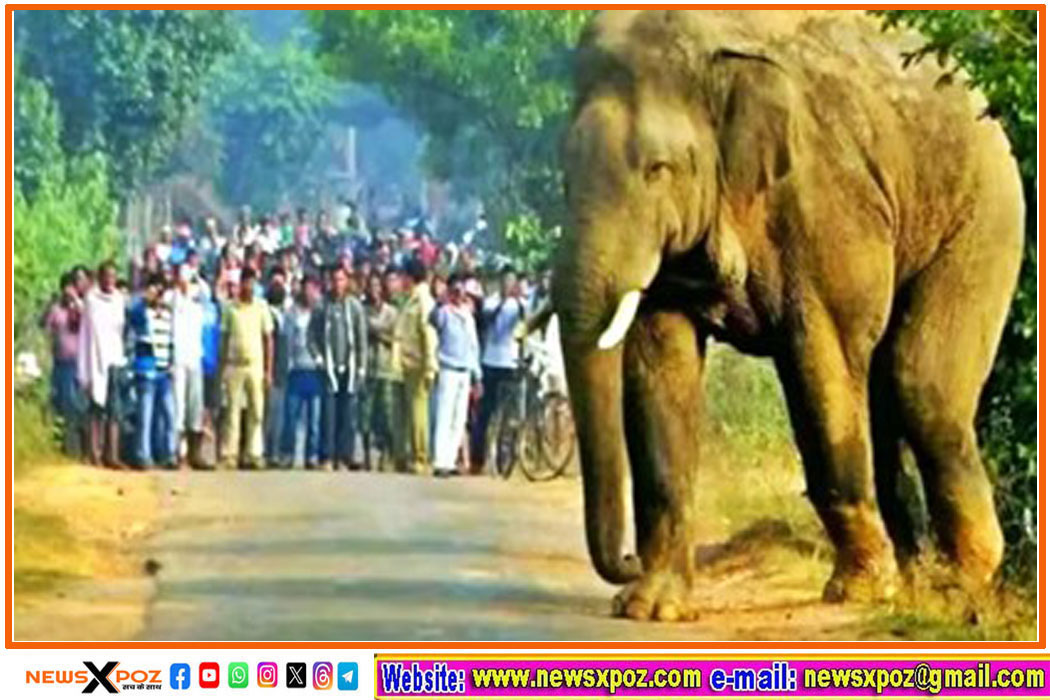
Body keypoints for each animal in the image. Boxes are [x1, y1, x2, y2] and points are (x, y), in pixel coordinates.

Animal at [553, 9, 1024, 622]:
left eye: (658, 169)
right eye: (564, 175)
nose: (627, 561)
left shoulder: (824, 204)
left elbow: (821, 357)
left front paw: (858, 590)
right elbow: (661, 366)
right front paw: (652, 607)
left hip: (985, 217)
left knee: (919, 384)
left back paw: (959, 582)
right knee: (888, 388)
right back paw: (918, 583)